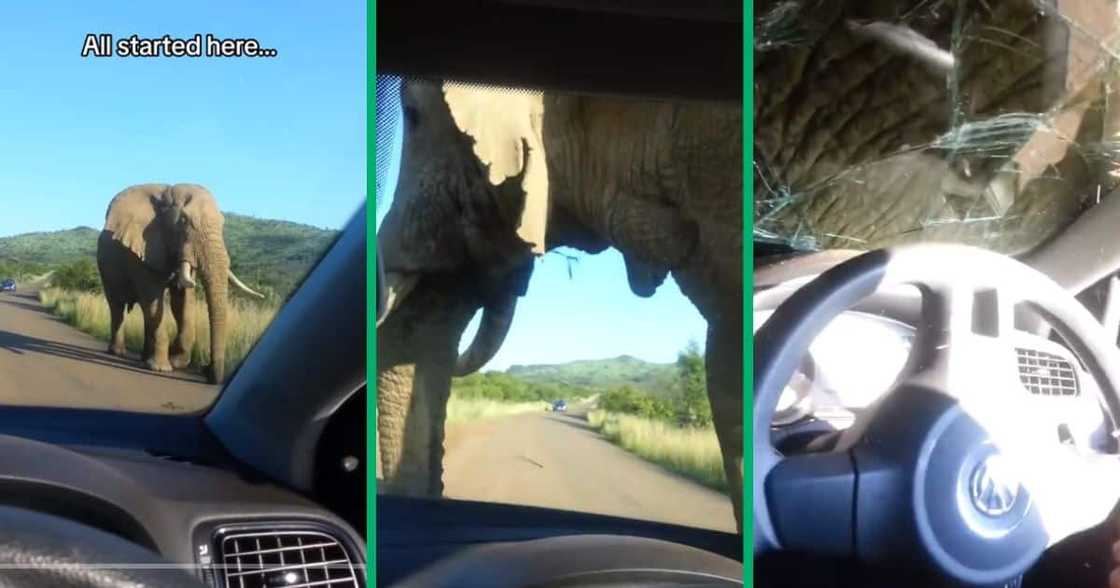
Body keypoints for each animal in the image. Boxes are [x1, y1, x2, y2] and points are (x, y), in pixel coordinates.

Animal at [95, 183, 262, 385]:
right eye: (183, 220)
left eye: (223, 223)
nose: (206, 370)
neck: (166, 193)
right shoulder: (141, 251)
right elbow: (153, 299)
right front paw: (162, 368)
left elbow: (182, 302)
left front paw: (177, 362)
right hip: (105, 267)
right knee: (117, 305)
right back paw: (118, 352)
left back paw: (144, 359)